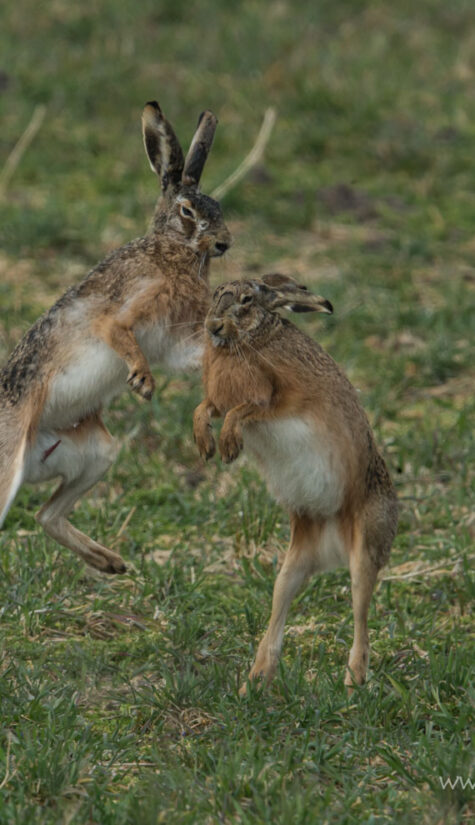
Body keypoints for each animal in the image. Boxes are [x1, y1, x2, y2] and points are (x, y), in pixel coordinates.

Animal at [0, 101, 231, 574]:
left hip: (97, 452)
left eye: (217, 206)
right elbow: (120, 334)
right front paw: (142, 382)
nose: (224, 243)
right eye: (187, 211)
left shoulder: (174, 339)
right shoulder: (125, 312)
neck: (172, 252)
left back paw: (111, 563)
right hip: (9, 462)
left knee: (46, 515)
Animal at [193, 274, 398, 691]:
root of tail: (332, 548)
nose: (213, 326)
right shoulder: (219, 398)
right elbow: (205, 407)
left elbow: (245, 410)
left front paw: (229, 446)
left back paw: (353, 680)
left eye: (246, 300)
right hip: (293, 562)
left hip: (366, 545)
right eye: (214, 294)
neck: (250, 340)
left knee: (361, 613)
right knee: (281, 604)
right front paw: (205, 443)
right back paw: (254, 681)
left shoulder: (276, 397)